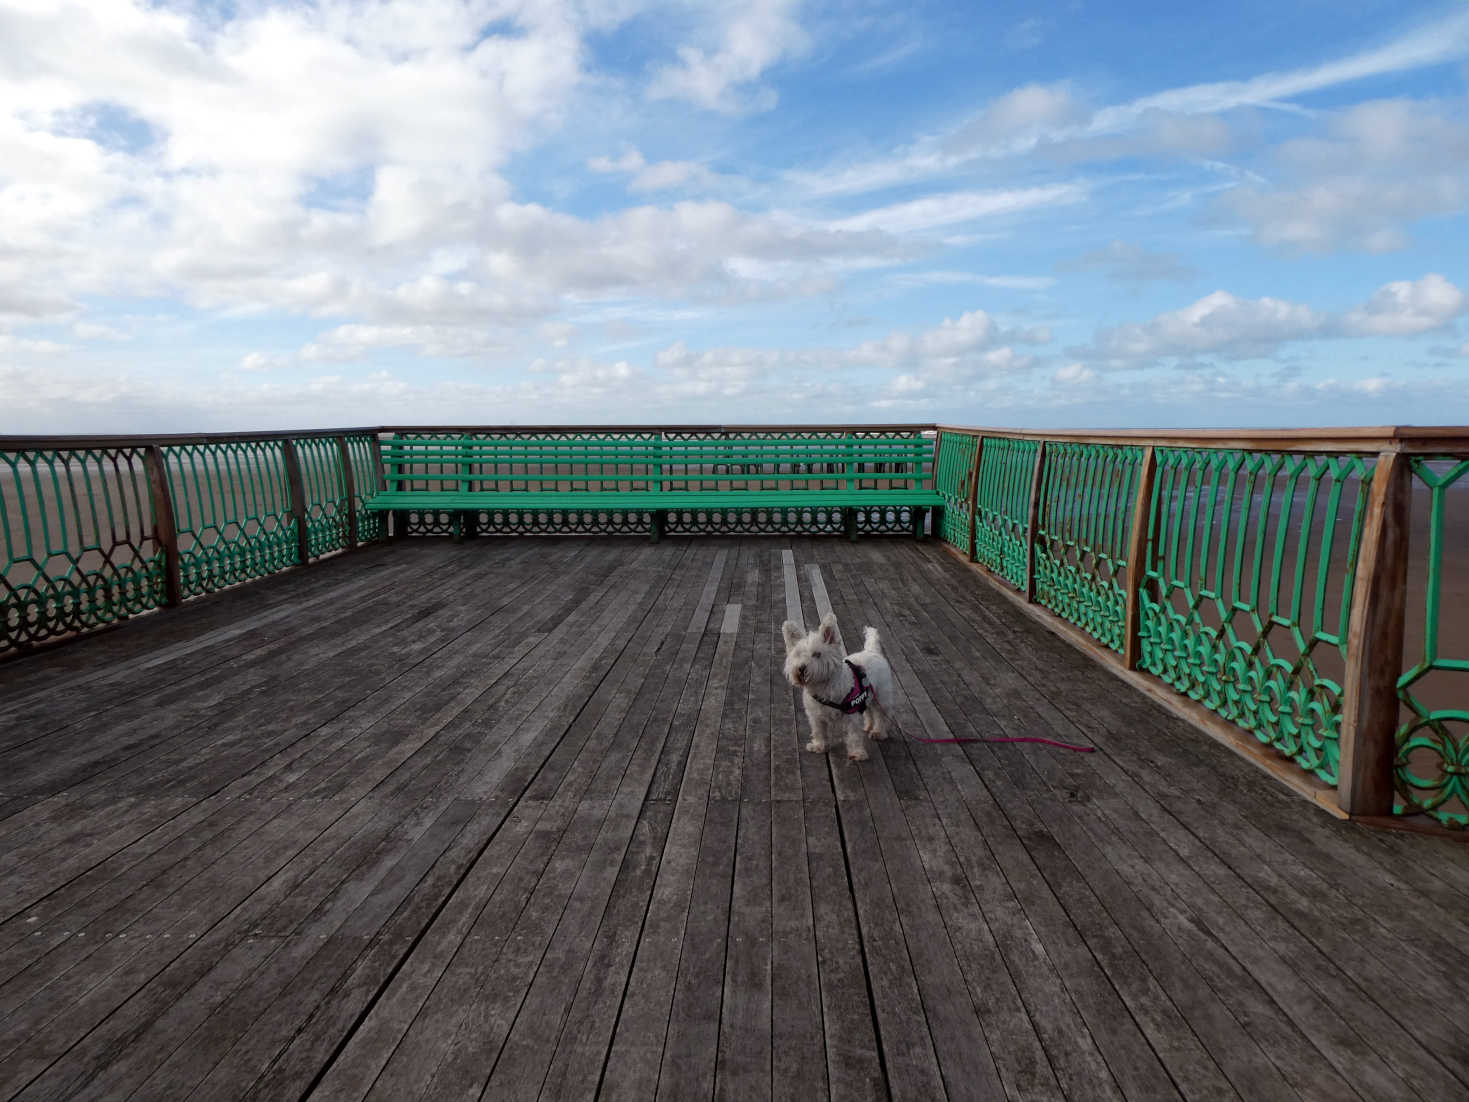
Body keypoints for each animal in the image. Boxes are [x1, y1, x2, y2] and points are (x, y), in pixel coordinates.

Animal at [781, 614, 893, 758]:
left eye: (817, 654)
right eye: (798, 654)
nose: (801, 668)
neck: (822, 687)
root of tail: (872, 651)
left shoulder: (851, 714)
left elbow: (853, 735)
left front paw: (857, 753)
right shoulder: (815, 716)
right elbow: (819, 732)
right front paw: (819, 746)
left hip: (882, 697)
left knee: (881, 715)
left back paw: (878, 732)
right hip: (868, 696)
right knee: (869, 711)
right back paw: (868, 726)